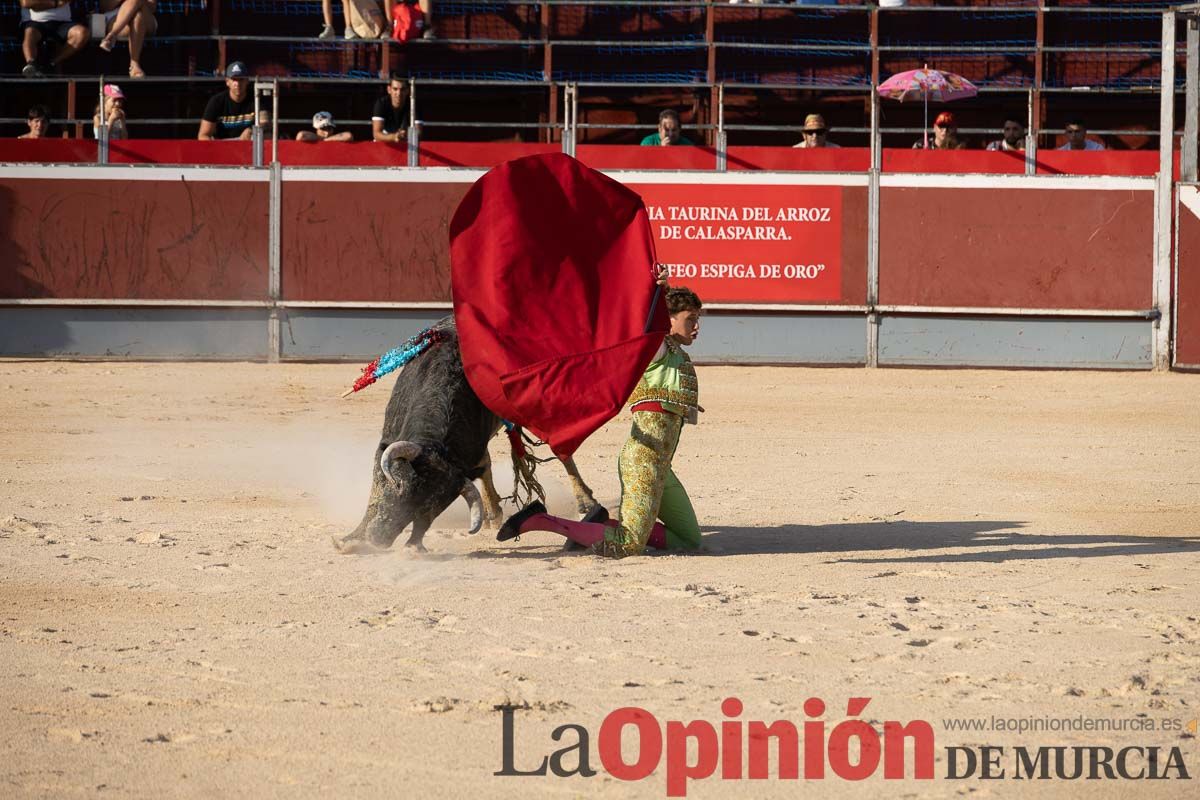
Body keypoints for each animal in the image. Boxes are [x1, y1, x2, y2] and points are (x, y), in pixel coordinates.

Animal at [333, 316, 600, 554]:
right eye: (399, 487)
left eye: (433, 508)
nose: (379, 538)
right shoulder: (387, 444)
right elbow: (375, 494)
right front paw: (352, 539)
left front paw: (413, 546)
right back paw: (493, 512)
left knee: (559, 448)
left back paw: (585, 502)